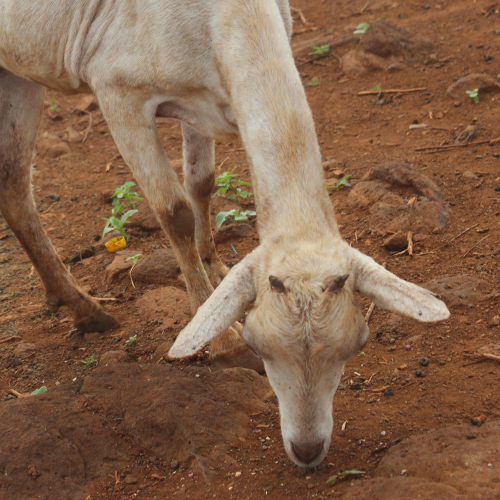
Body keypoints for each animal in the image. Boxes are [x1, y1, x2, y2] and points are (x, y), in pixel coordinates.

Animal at [0, 0, 450, 468]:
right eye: (259, 346)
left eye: (358, 345)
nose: (307, 450)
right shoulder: (117, 89)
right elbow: (174, 211)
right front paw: (223, 344)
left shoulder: (200, 98)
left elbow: (202, 182)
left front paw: (215, 270)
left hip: (15, 74)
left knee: (12, 183)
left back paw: (82, 307)